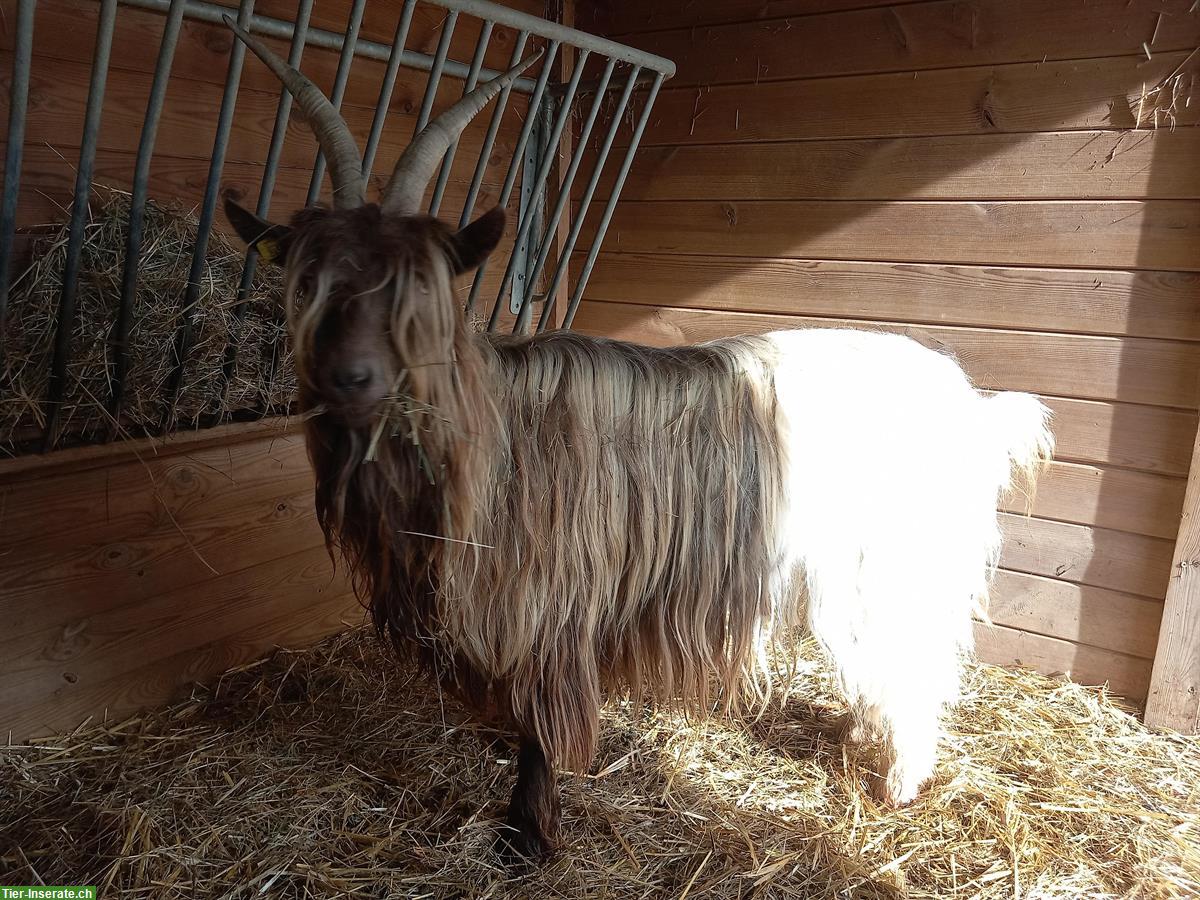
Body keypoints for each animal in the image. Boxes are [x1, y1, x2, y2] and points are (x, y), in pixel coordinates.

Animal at [222, 20, 1053, 862]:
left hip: (894, 566)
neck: (489, 441)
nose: (349, 378)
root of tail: (973, 407)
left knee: (912, 667)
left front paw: (528, 836)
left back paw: (897, 782)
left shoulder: (553, 601)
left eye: (420, 287)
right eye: (309, 282)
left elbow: (543, 727)